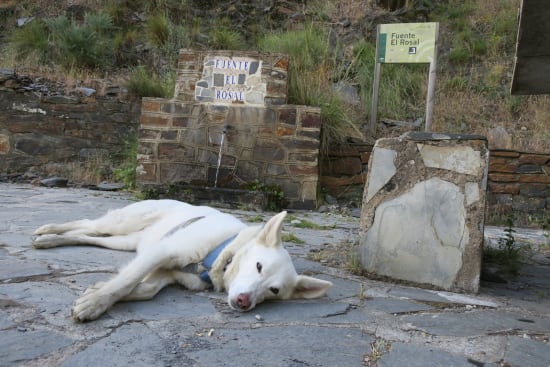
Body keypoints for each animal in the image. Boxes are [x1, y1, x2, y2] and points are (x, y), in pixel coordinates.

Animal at [32, 200, 334, 324]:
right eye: (258, 266)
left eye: (274, 291)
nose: (243, 303)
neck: (222, 253)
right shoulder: (163, 252)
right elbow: (126, 281)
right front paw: (95, 304)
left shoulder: (166, 272)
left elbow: (144, 289)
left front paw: (94, 293)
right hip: (122, 223)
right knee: (87, 223)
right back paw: (48, 230)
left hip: (126, 241)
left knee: (88, 236)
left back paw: (49, 240)